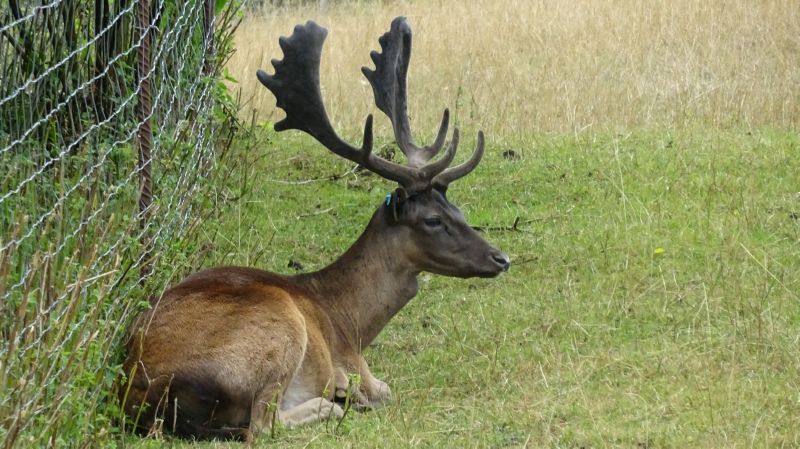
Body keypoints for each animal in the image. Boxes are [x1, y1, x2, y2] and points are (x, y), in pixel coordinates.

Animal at [120, 16, 506, 440]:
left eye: (457, 207)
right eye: (432, 220)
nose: (500, 258)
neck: (349, 320)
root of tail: (142, 393)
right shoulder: (355, 362)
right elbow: (383, 390)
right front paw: (347, 393)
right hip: (279, 331)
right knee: (262, 425)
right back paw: (331, 400)